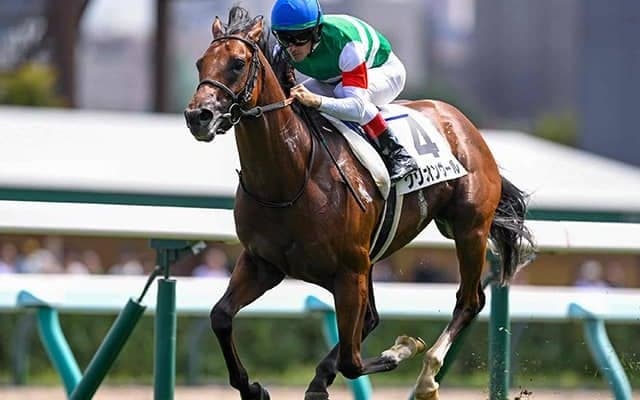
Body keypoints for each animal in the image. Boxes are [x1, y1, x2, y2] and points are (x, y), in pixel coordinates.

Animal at [184, 7, 535, 400]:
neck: (289, 177)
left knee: (469, 300)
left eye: (238, 63)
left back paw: (427, 375)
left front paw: (401, 349)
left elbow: (353, 361)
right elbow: (220, 316)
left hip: (469, 229)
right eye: (200, 63)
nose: (198, 116)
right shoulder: (263, 263)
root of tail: (463, 123)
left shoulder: (350, 270)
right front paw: (252, 387)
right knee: (371, 319)